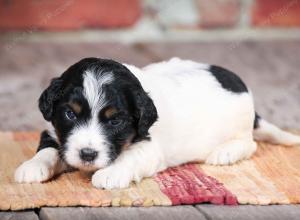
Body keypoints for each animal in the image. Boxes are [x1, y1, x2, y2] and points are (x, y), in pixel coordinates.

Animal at [14, 57, 300, 189]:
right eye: (70, 115)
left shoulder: (149, 147)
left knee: (250, 144)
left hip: (239, 127)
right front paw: (32, 166)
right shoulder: (56, 133)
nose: (87, 154)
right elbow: (48, 149)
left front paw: (109, 174)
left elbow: (128, 157)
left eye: (115, 121)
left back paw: (225, 153)